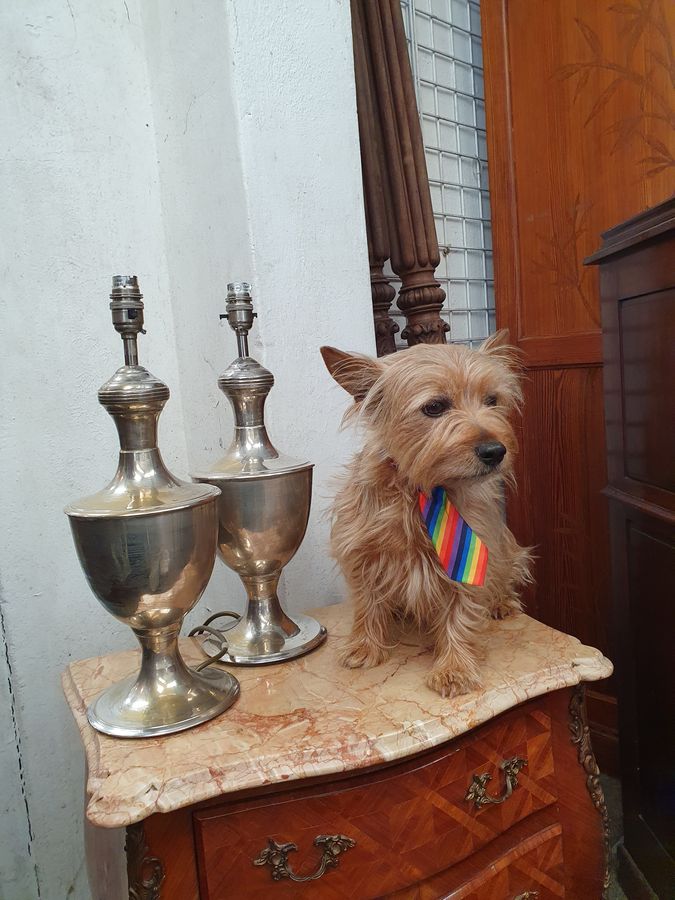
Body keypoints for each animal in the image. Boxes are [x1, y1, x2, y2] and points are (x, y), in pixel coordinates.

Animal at [322, 334, 532, 700]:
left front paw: (454, 667)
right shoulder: (361, 552)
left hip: (506, 549)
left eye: (492, 400)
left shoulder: (471, 553)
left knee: (504, 575)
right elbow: (367, 603)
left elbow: (461, 611)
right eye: (434, 406)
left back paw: (501, 602)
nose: (495, 451)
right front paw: (366, 646)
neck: (420, 489)